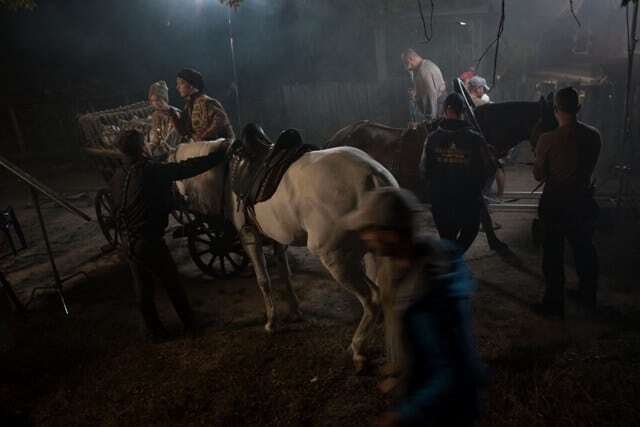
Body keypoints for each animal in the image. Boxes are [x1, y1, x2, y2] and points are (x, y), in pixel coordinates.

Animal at [172, 140, 398, 368]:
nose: (181, 202)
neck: (227, 173)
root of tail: (373, 177)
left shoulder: (249, 236)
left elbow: (264, 280)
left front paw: (271, 323)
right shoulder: (277, 238)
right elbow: (285, 275)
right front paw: (294, 311)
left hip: (337, 259)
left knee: (372, 299)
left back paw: (357, 350)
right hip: (370, 254)